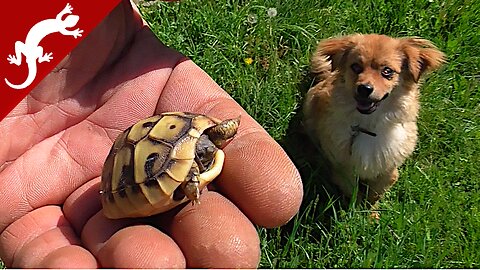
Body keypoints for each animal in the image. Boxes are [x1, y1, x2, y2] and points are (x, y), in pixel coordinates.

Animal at [304, 34, 446, 205]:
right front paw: (357, 208)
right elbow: (353, 193)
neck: (369, 125)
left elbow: (376, 193)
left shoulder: (388, 171)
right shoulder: (343, 170)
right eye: (356, 67)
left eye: (387, 71)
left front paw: (371, 209)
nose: (364, 89)